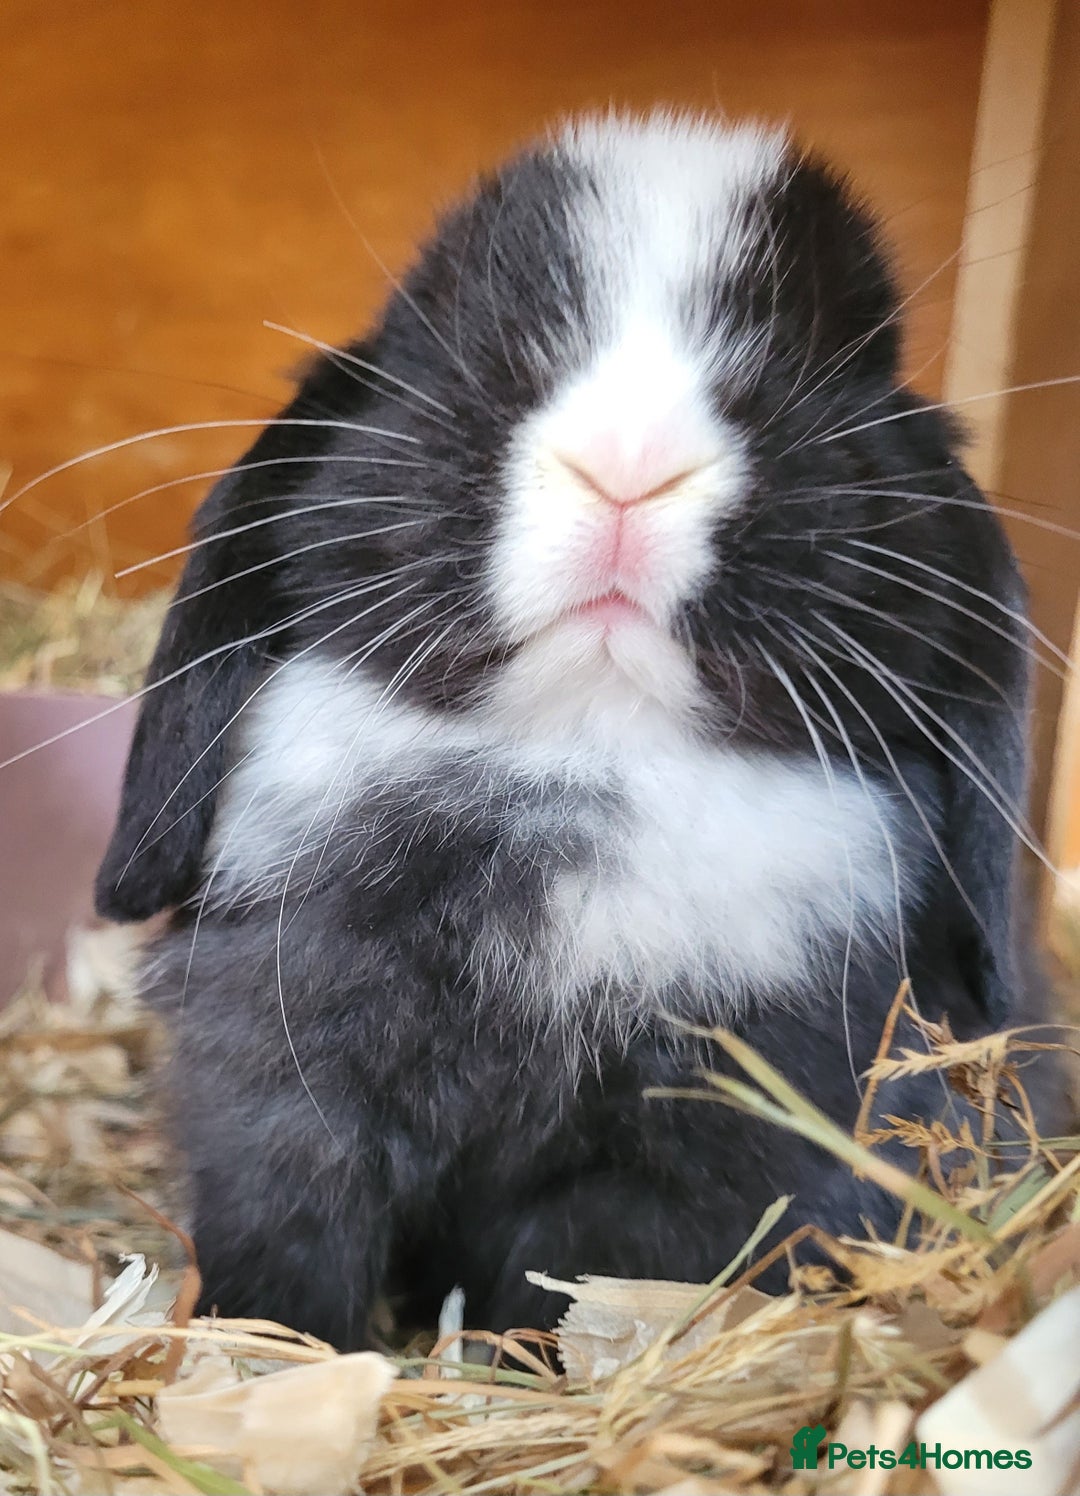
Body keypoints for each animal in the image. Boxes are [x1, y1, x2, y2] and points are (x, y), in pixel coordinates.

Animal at [95, 112, 1055, 1350]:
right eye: (466, 339)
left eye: (827, 379)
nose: (629, 462)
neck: (582, 759)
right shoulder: (279, 1090)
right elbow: (291, 1241)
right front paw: (273, 1347)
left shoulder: (691, 1150)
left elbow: (577, 1281)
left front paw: (523, 1363)